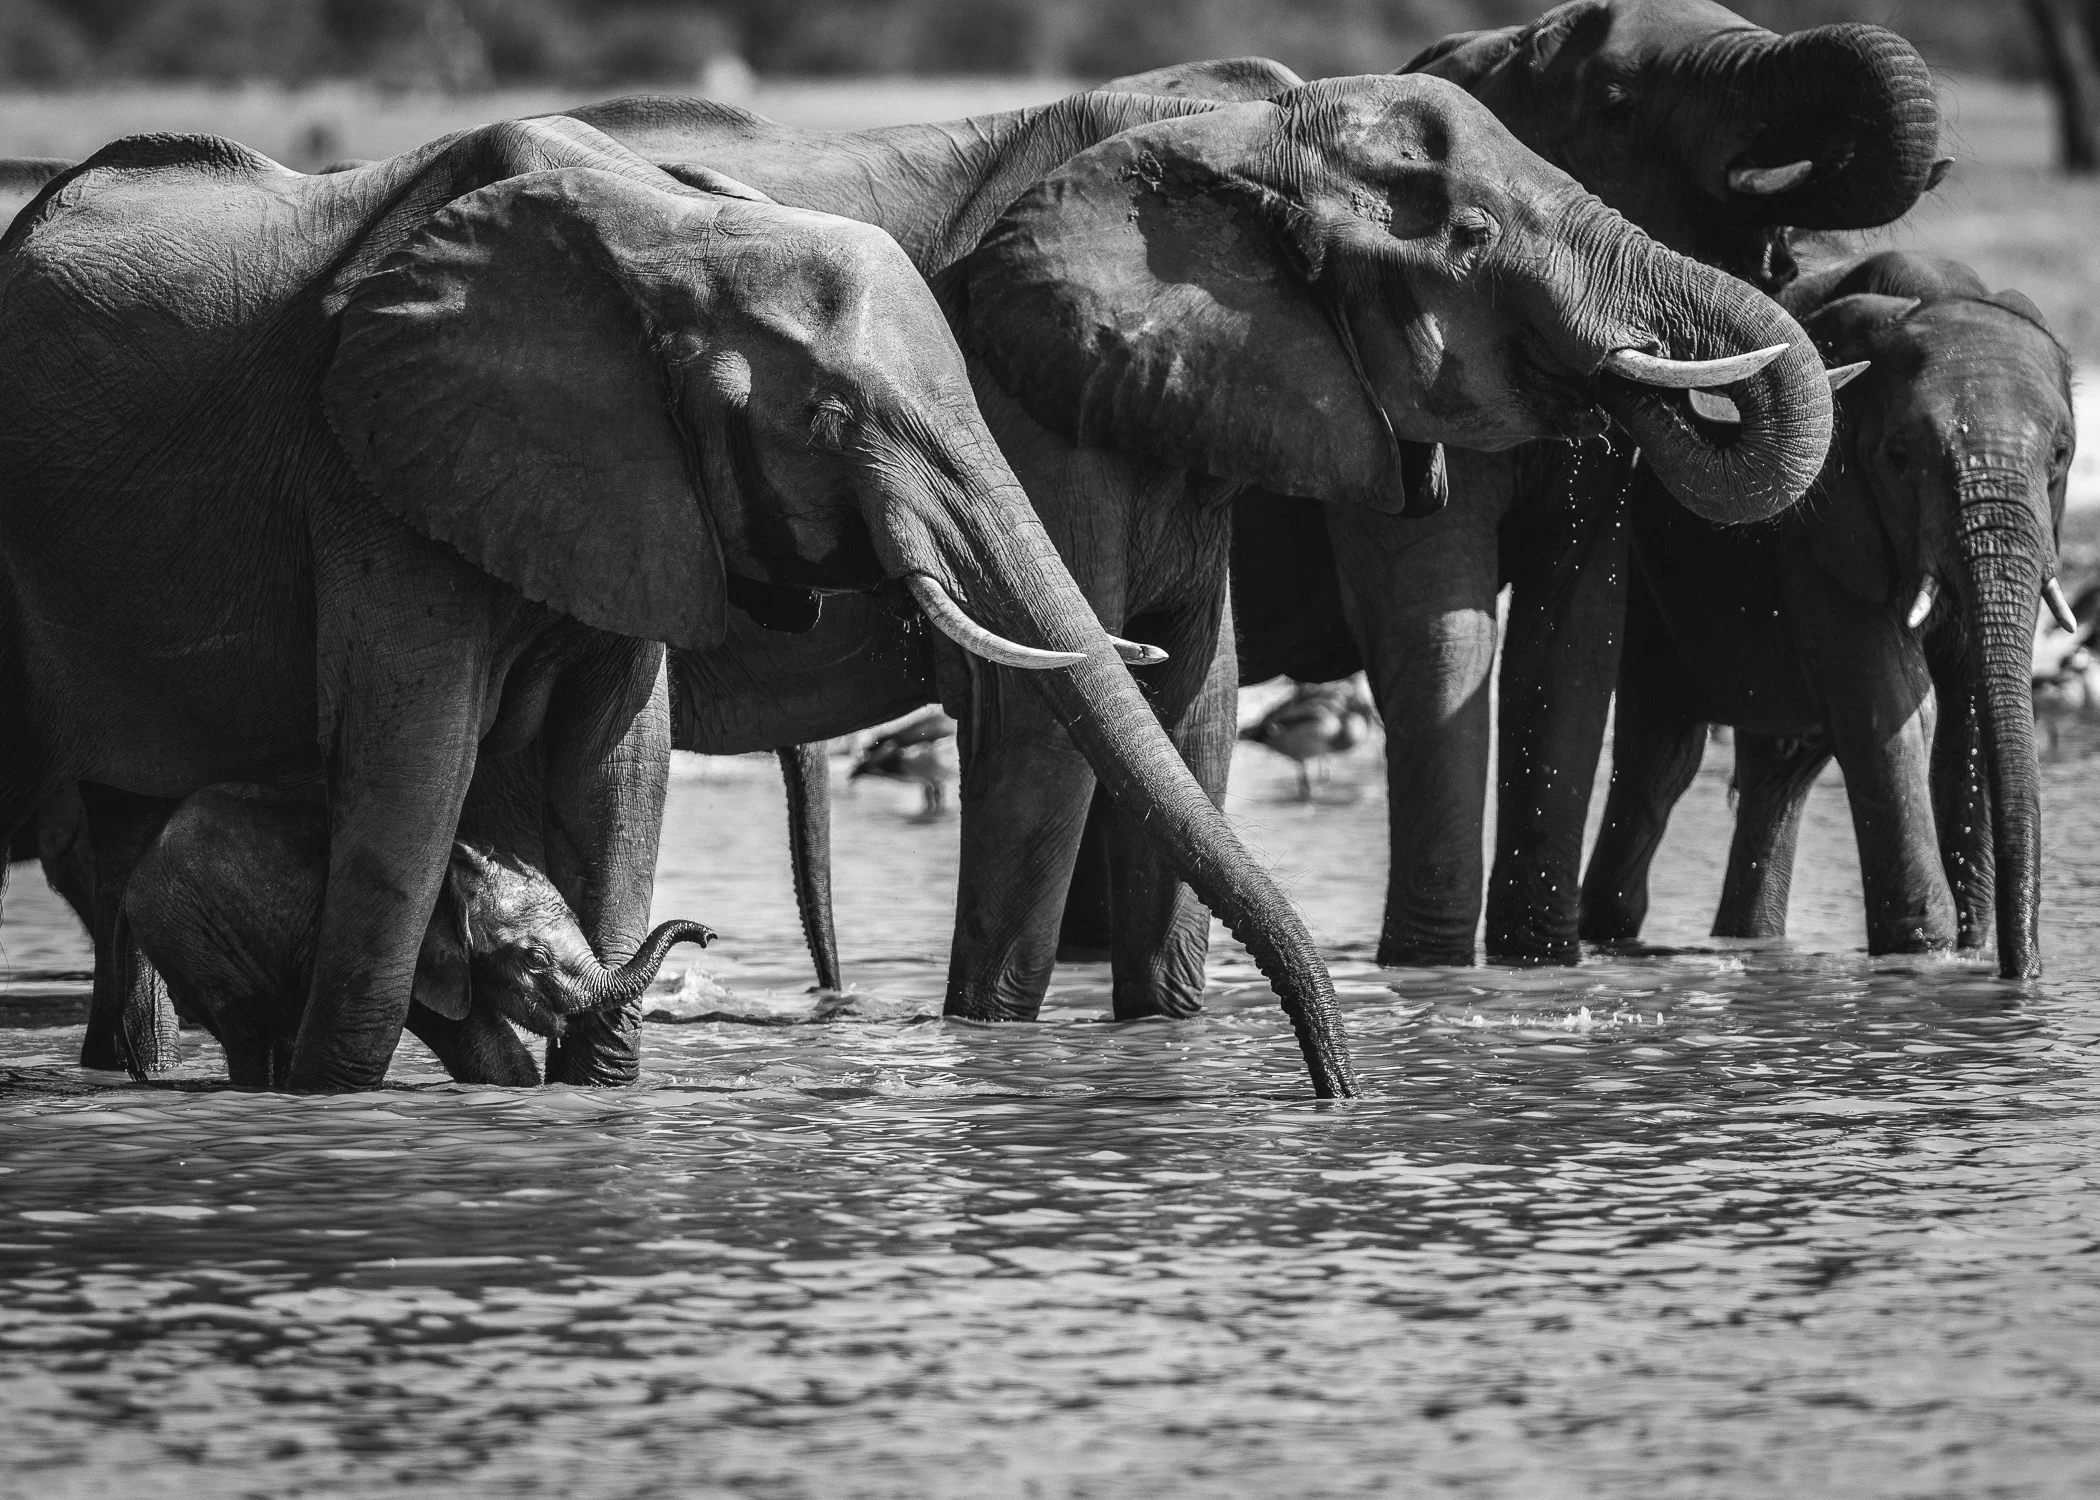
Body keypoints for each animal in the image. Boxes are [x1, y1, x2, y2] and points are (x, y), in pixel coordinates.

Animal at [123, 786, 716, 1087]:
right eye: (535, 958)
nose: (709, 934)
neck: (456, 867)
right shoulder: (420, 958)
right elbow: (469, 1034)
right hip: (189, 931)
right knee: (246, 1024)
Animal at [572, 71, 1841, 1027]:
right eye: (1475, 234)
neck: (1235, 131)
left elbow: (1197, 702)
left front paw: (1163, 1039)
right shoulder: (1020, 403)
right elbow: (1046, 725)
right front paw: (996, 1039)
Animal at [1578, 251, 2075, 977]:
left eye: (2061, 456)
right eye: (1899, 459)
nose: (2025, 973)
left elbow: (1967, 721)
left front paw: (1966, 957)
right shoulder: (1826, 523)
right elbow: (1893, 708)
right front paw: (1925, 958)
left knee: (1779, 770)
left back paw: (1749, 943)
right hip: (1643, 574)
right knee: (1661, 763)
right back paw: (1613, 939)